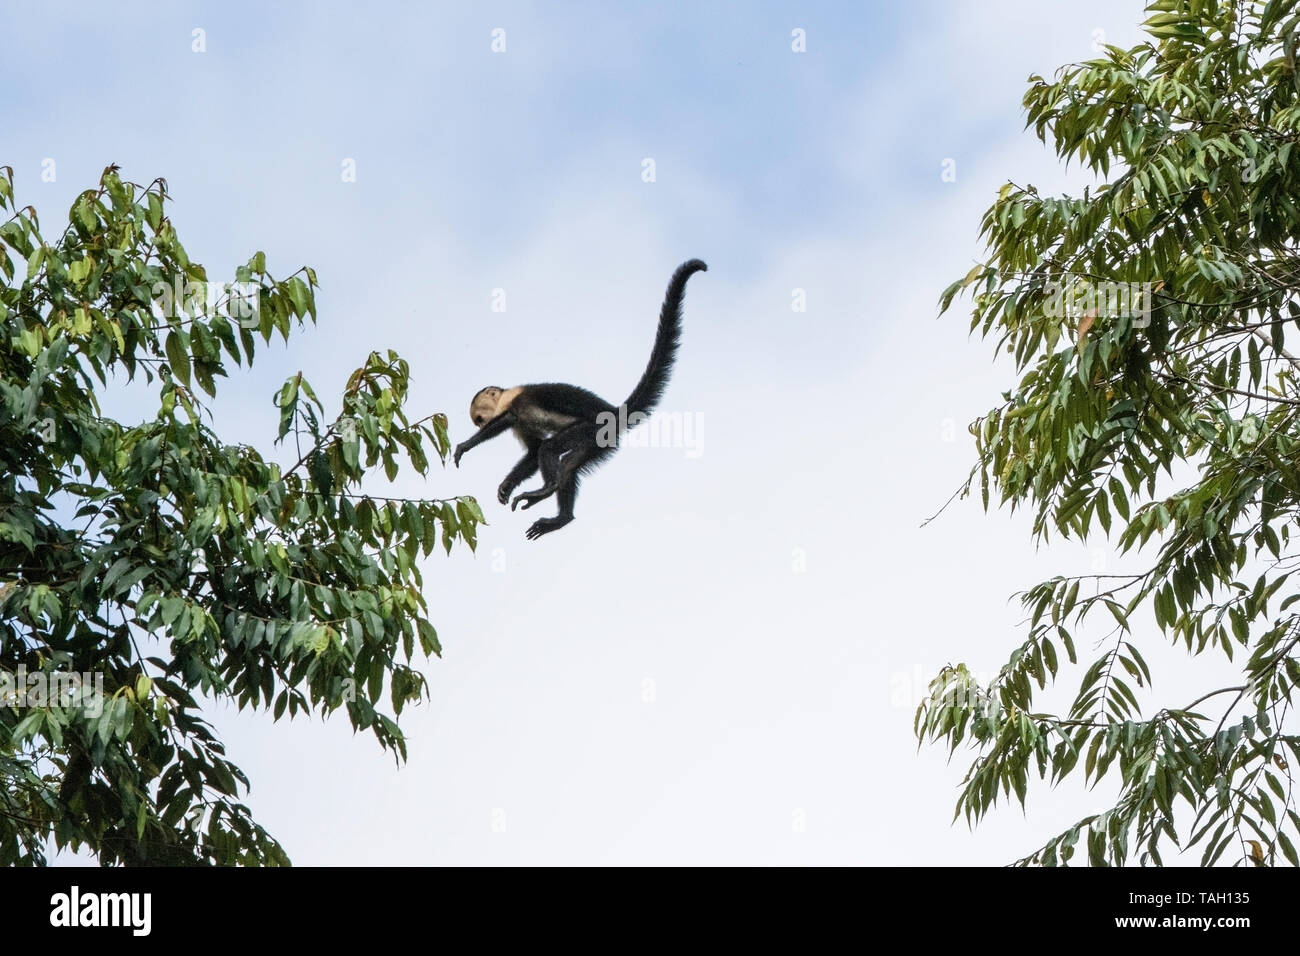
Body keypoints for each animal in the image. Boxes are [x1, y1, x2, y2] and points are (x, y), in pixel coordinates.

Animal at [452, 260, 707, 538]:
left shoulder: (513, 401)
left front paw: (466, 445)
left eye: (479, 419)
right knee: (569, 464)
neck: (505, 395)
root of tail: (615, 412)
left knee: (553, 449)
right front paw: (506, 486)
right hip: (602, 442)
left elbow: (510, 424)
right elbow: (532, 450)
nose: (480, 423)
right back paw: (561, 517)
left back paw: (546, 489)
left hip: (595, 428)